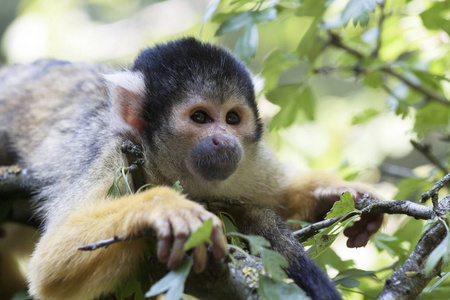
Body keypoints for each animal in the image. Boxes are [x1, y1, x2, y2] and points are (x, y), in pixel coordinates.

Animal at [0, 38, 384, 300]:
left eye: (232, 118)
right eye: (200, 117)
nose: (224, 140)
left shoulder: (249, 164)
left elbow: (281, 195)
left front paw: (334, 193)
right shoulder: (112, 157)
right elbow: (50, 269)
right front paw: (165, 207)